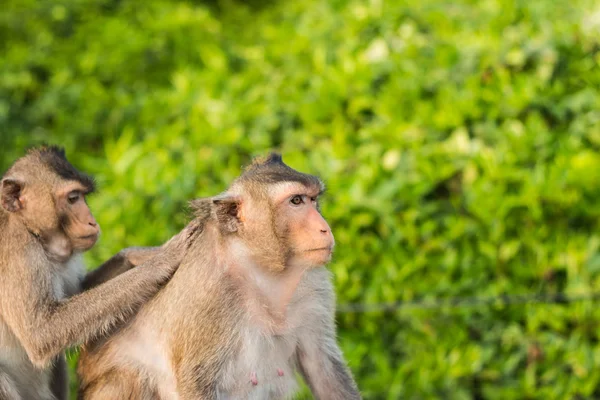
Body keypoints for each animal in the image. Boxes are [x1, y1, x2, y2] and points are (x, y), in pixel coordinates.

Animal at [0, 148, 196, 400]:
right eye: (73, 198)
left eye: (83, 197)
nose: (92, 222)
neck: (33, 232)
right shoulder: (18, 252)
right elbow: (42, 333)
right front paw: (162, 260)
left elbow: (79, 291)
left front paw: (140, 255)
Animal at [78, 154, 360, 400]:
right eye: (296, 201)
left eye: (314, 199)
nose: (325, 228)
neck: (258, 267)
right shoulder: (208, 295)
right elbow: (196, 379)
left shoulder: (313, 284)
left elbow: (322, 366)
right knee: (130, 377)